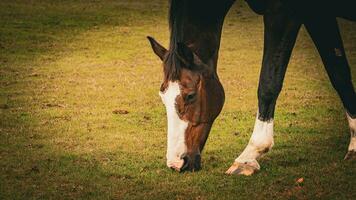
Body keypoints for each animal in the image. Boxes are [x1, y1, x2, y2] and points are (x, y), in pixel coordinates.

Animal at [147, 0, 356, 174]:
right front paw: (354, 146)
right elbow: (340, 75)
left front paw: (248, 156)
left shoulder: (283, 12)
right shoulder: (318, 15)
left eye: (190, 95)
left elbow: (268, 83)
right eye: (162, 97)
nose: (176, 163)